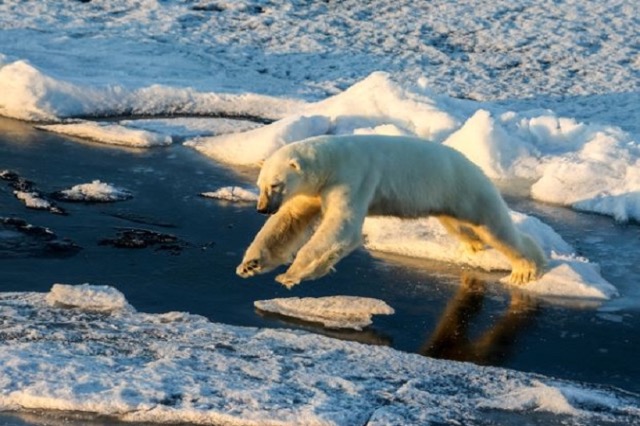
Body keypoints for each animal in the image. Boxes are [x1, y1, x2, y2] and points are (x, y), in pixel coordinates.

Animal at [235, 135, 544, 288]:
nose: (262, 208)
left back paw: (525, 270)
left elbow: (341, 226)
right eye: (260, 185)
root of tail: (476, 167)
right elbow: (289, 222)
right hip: (450, 199)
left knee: (495, 228)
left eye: (275, 184)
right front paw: (250, 264)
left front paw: (290, 275)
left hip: (468, 190)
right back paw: (473, 246)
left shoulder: (354, 177)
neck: (331, 161)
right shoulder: (313, 190)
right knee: (462, 227)